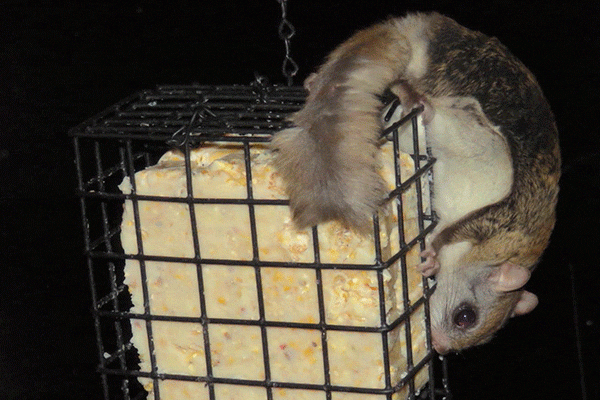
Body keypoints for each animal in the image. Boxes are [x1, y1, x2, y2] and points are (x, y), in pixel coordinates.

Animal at [272, 10, 564, 352]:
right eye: (465, 317)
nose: (439, 347)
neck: (507, 251)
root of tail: (420, 30)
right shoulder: (495, 222)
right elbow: (450, 232)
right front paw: (433, 257)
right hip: (471, 131)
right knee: (434, 111)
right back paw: (413, 98)